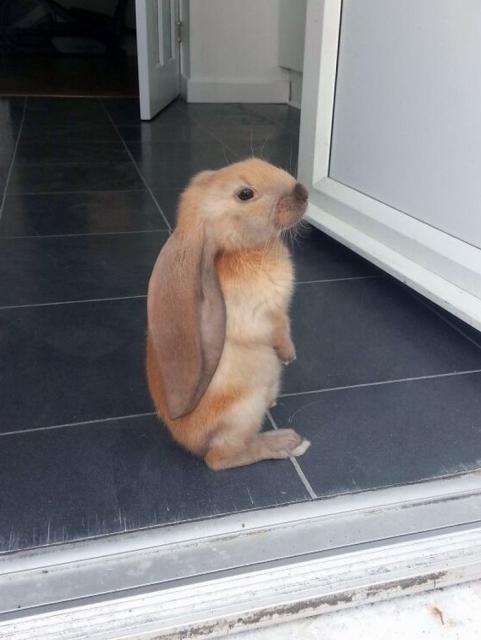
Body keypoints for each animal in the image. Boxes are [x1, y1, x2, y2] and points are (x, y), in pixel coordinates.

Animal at [146, 158, 311, 471]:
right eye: (245, 194)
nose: (303, 193)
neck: (244, 250)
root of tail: (189, 443)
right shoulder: (263, 316)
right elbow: (279, 330)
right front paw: (289, 356)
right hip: (241, 412)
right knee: (220, 458)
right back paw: (286, 442)